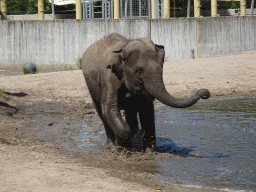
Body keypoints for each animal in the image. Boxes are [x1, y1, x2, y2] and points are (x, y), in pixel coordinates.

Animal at [81, 33, 210, 152]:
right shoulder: (109, 79)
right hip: (91, 86)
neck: (124, 48)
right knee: (101, 112)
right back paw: (112, 145)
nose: (205, 93)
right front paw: (127, 143)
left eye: (161, 68)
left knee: (130, 111)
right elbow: (110, 108)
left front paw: (149, 151)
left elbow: (147, 109)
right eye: (138, 71)